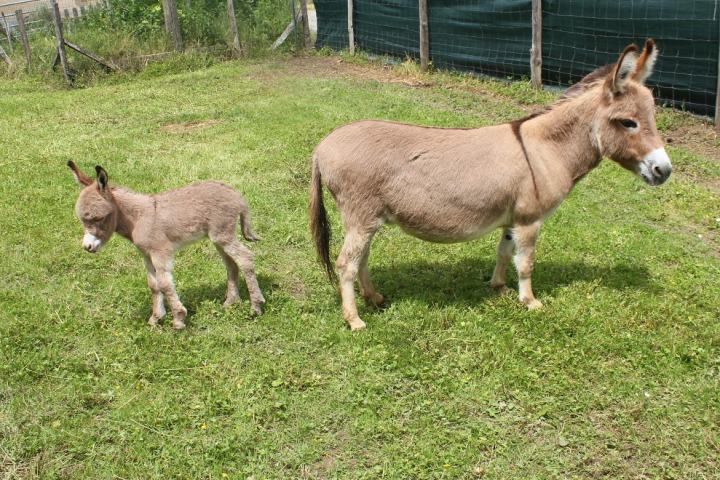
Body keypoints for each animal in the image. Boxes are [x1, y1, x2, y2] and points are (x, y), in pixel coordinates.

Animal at [67, 163, 264, 328]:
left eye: (97, 218)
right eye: (83, 220)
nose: (87, 247)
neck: (137, 219)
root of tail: (236, 195)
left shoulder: (160, 252)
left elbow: (165, 283)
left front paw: (178, 318)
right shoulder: (146, 254)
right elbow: (153, 284)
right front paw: (156, 318)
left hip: (223, 234)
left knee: (245, 258)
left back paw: (256, 307)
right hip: (218, 238)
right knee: (231, 264)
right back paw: (231, 302)